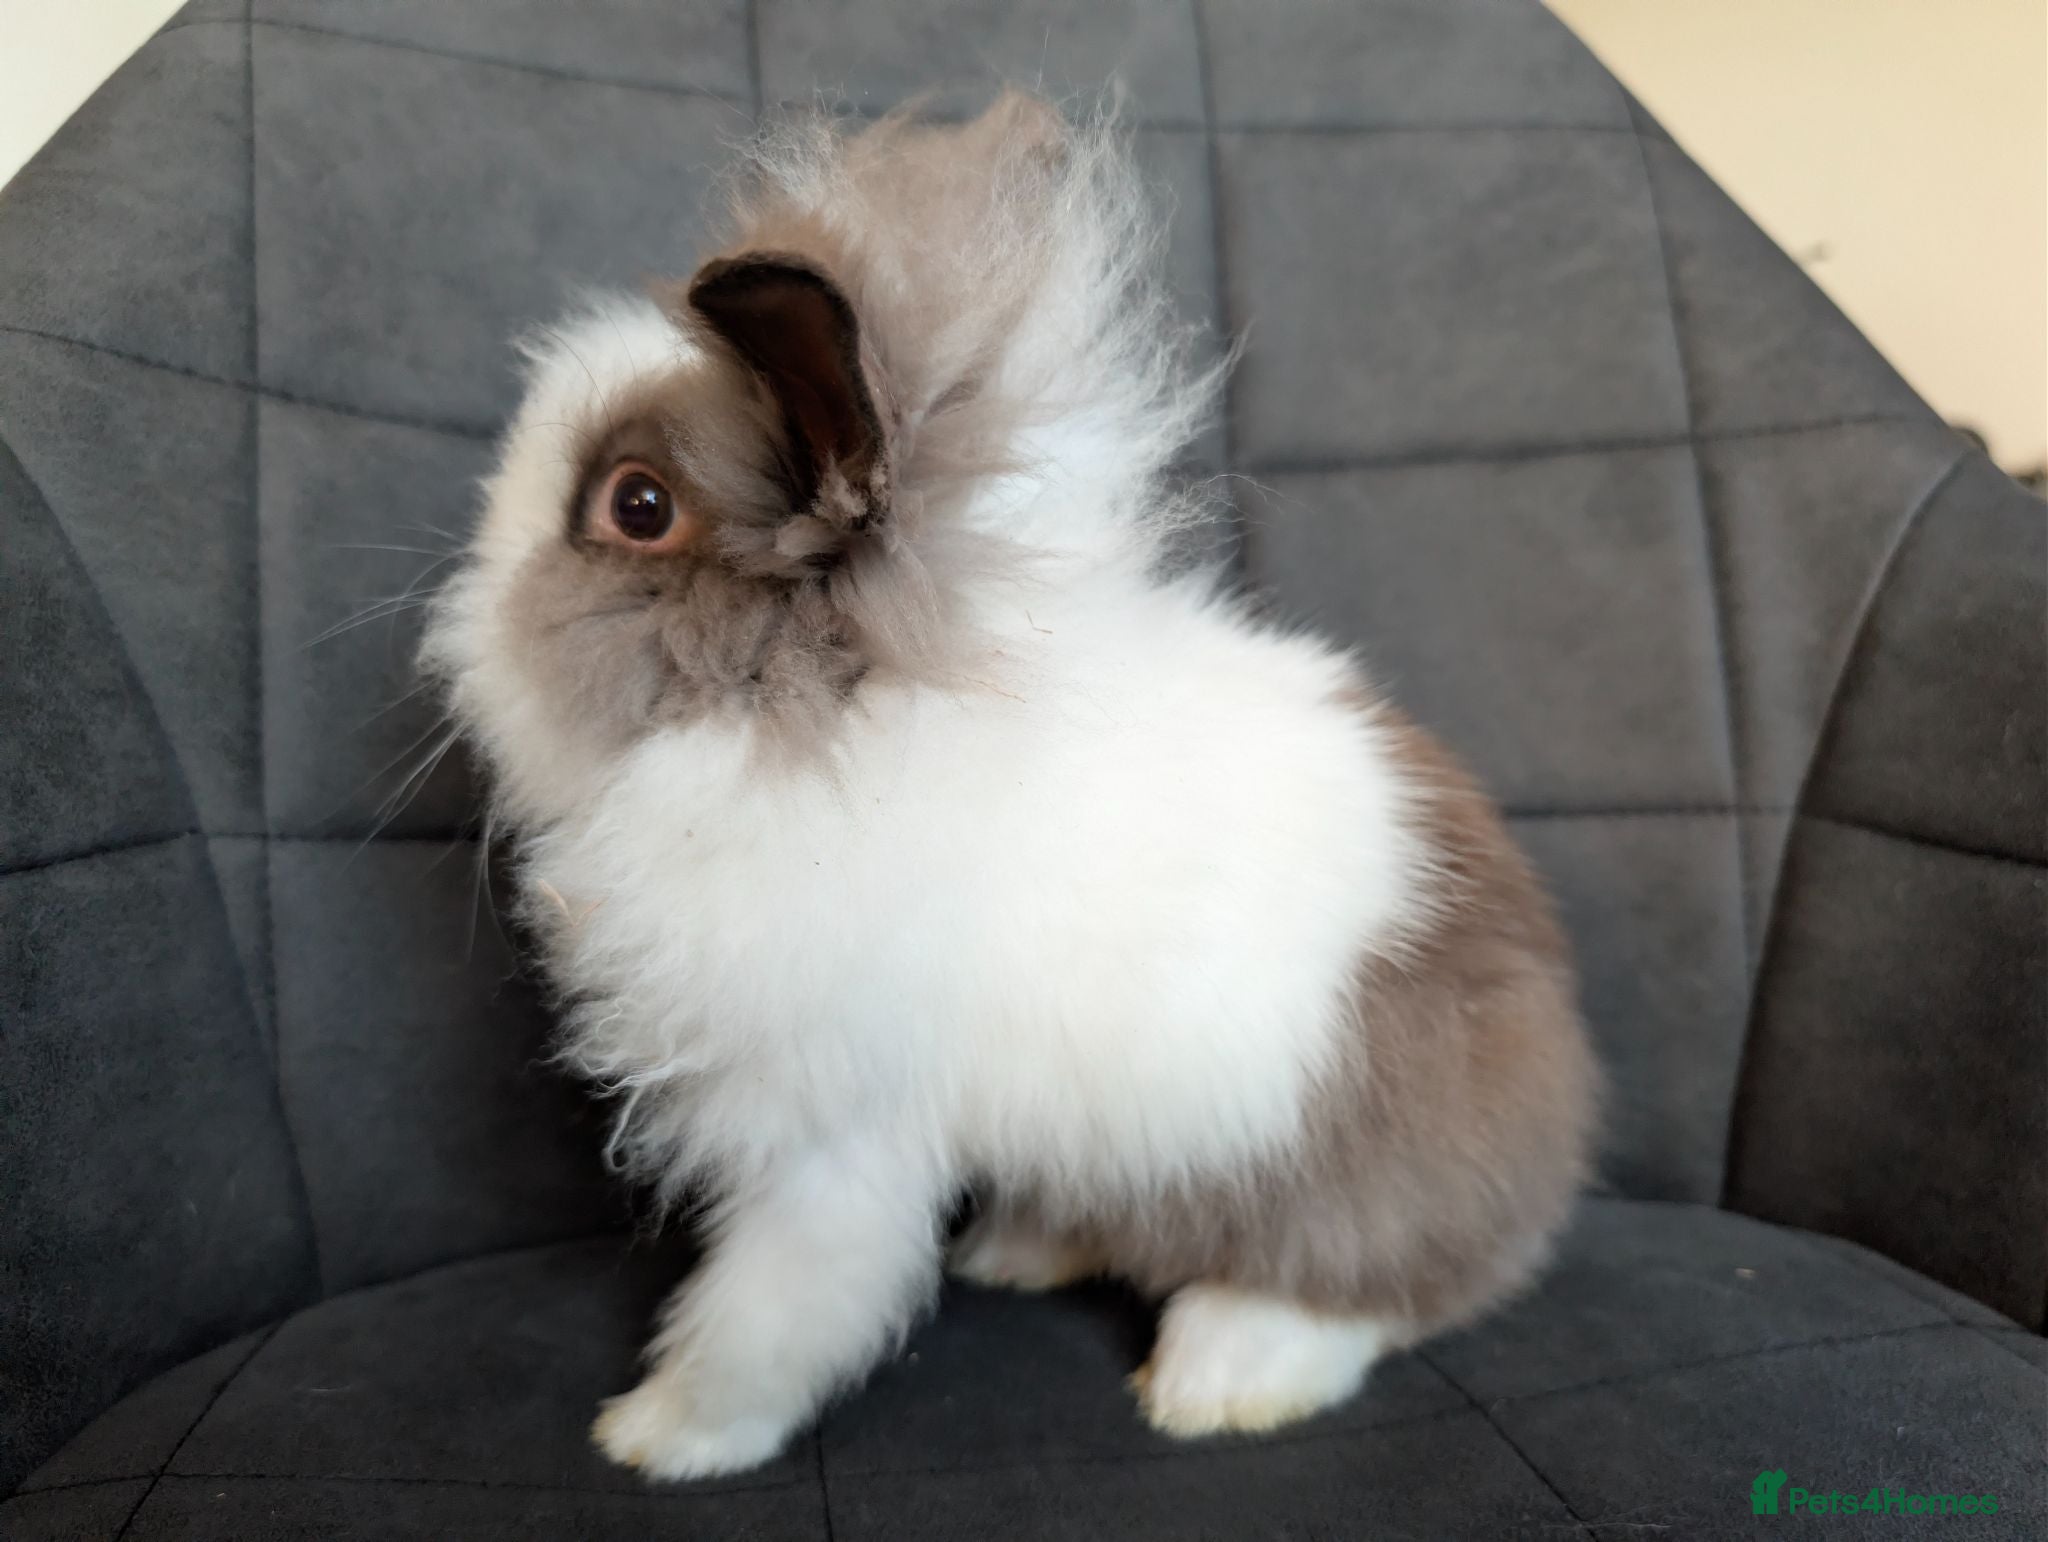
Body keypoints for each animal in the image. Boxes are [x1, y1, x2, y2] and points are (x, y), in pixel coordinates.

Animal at [420, 90, 1599, 1482]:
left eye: (637, 505)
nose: (461, 610)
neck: (818, 718)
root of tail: (1554, 1087)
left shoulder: (831, 1137)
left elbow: (777, 1304)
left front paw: (662, 1438)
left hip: (1329, 1171)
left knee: (1367, 1289)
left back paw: (1213, 1377)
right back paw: (1019, 1252)